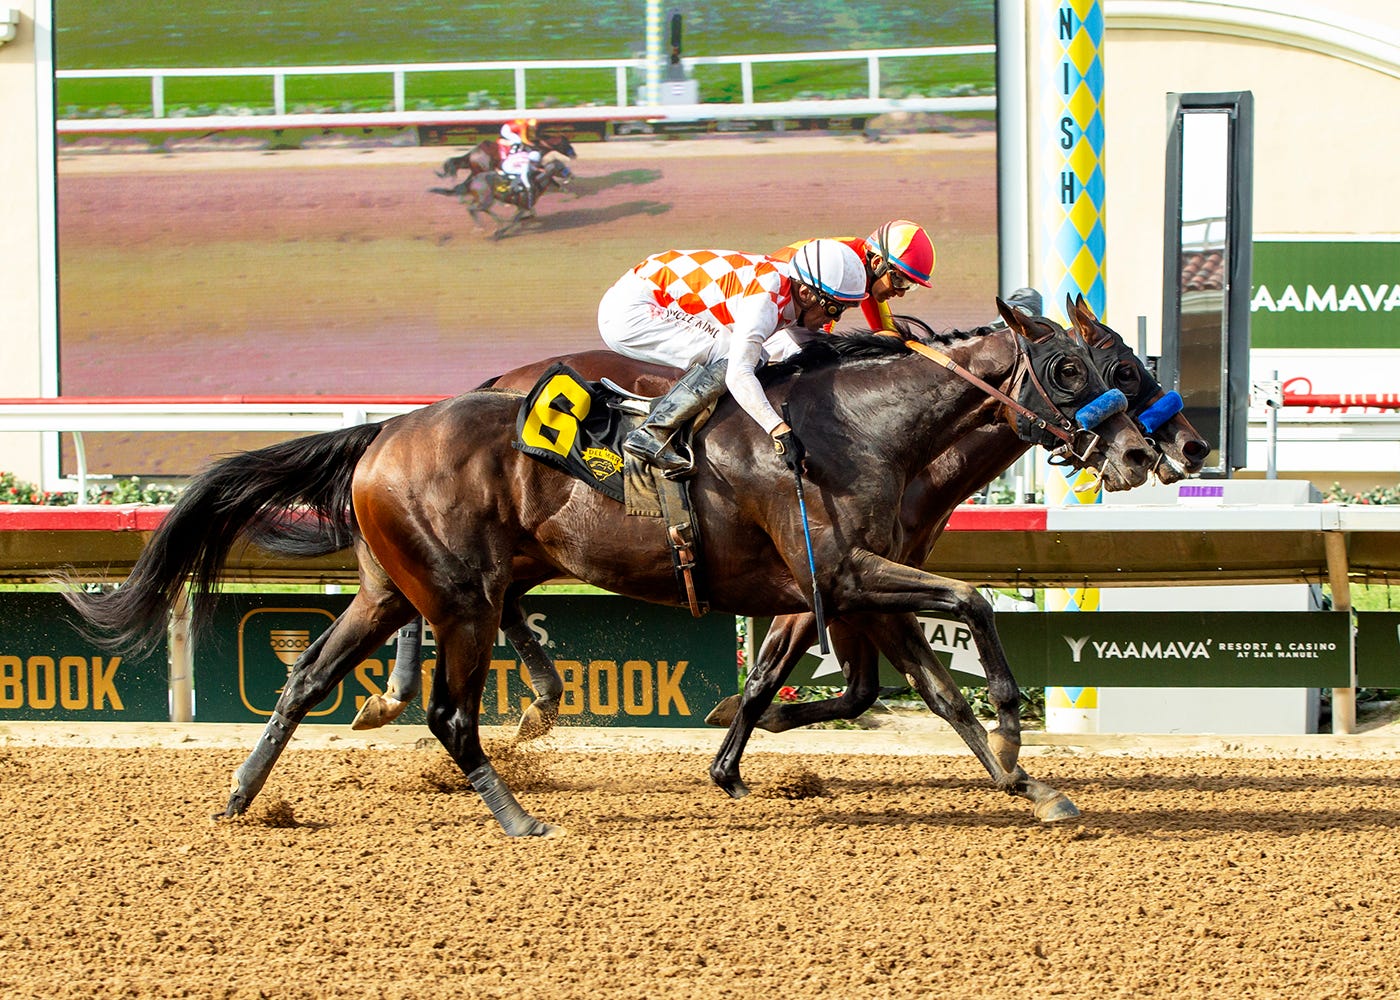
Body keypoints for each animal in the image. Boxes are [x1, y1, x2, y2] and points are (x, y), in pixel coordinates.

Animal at [65, 299, 1153, 829]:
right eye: (1068, 369)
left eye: (1131, 369)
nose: (1144, 453)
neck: (860, 426)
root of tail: (386, 431)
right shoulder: (842, 576)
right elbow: (971, 606)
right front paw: (1014, 730)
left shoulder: (851, 588)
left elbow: (932, 691)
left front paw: (1029, 786)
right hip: (457, 595)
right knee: (450, 712)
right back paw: (517, 812)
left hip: (390, 589)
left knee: (303, 681)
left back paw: (244, 798)